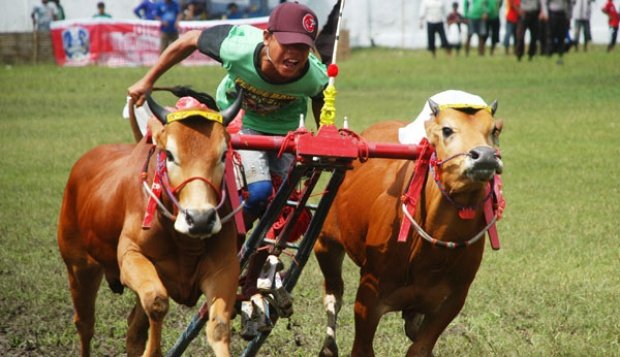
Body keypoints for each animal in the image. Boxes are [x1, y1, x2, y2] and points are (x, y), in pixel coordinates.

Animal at [57, 93, 242, 354]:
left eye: (224, 154)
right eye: (170, 154)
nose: (200, 219)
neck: (184, 242)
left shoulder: (224, 268)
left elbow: (219, 327)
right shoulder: (130, 256)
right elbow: (157, 302)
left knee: (133, 328)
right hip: (79, 267)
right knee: (85, 325)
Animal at [314, 100, 504, 356]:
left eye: (494, 130)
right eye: (447, 129)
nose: (484, 156)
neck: (432, 254)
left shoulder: (452, 300)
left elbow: (419, 347)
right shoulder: (368, 297)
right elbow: (363, 348)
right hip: (326, 242)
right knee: (334, 292)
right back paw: (328, 345)